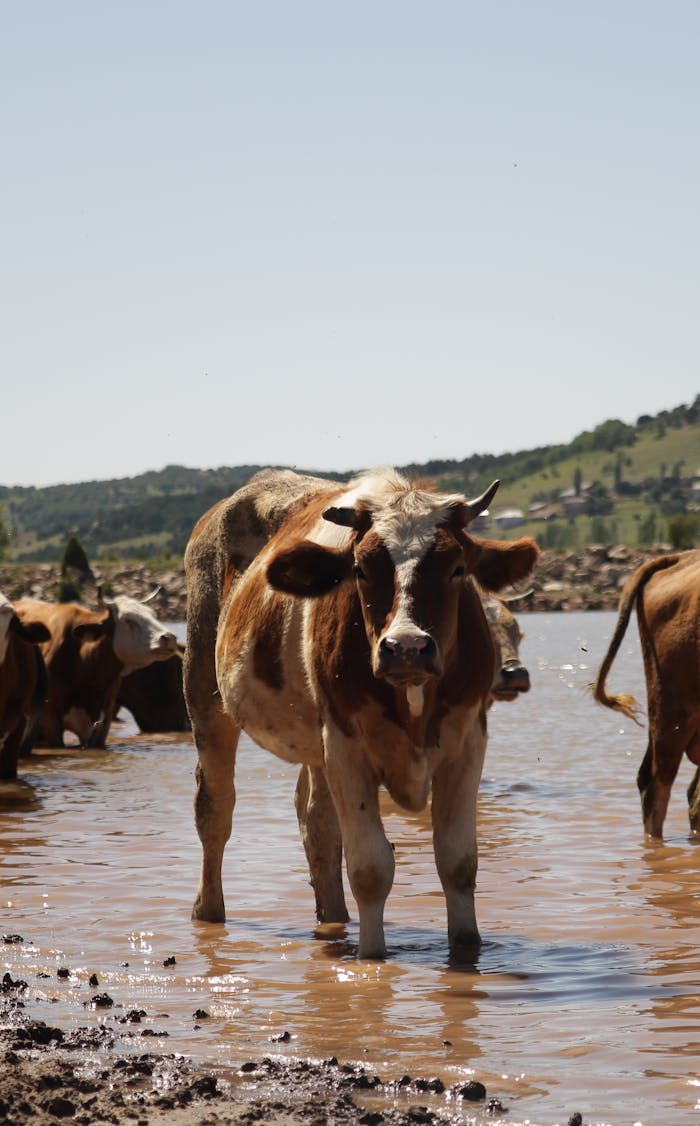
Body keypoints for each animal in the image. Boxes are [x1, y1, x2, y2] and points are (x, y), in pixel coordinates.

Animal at [184, 468, 539, 959]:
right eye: (360, 569)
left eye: (456, 568)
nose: (406, 647)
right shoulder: (346, 744)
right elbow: (370, 867)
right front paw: (371, 958)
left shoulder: (468, 741)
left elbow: (458, 861)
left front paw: (467, 951)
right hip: (205, 692)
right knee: (214, 808)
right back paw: (209, 910)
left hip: (314, 743)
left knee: (315, 820)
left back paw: (332, 917)